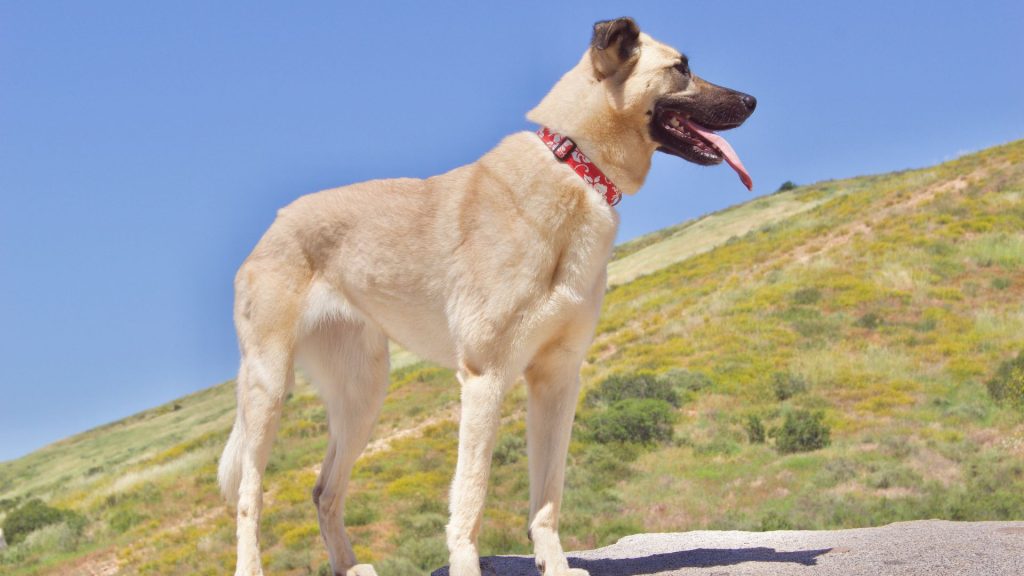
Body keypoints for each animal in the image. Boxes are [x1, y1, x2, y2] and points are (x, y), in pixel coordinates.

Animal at [218, 16, 753, 573]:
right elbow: (471, 498)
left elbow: (548, 497)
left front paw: (554, 564)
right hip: (269, 388)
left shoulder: (557, 379)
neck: (576, 167)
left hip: (362, 394)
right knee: (250, 497)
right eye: (681, 68)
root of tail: (274, 225)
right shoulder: (485, 378)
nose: (752, 101)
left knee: (324, 490)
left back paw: (350, 565)